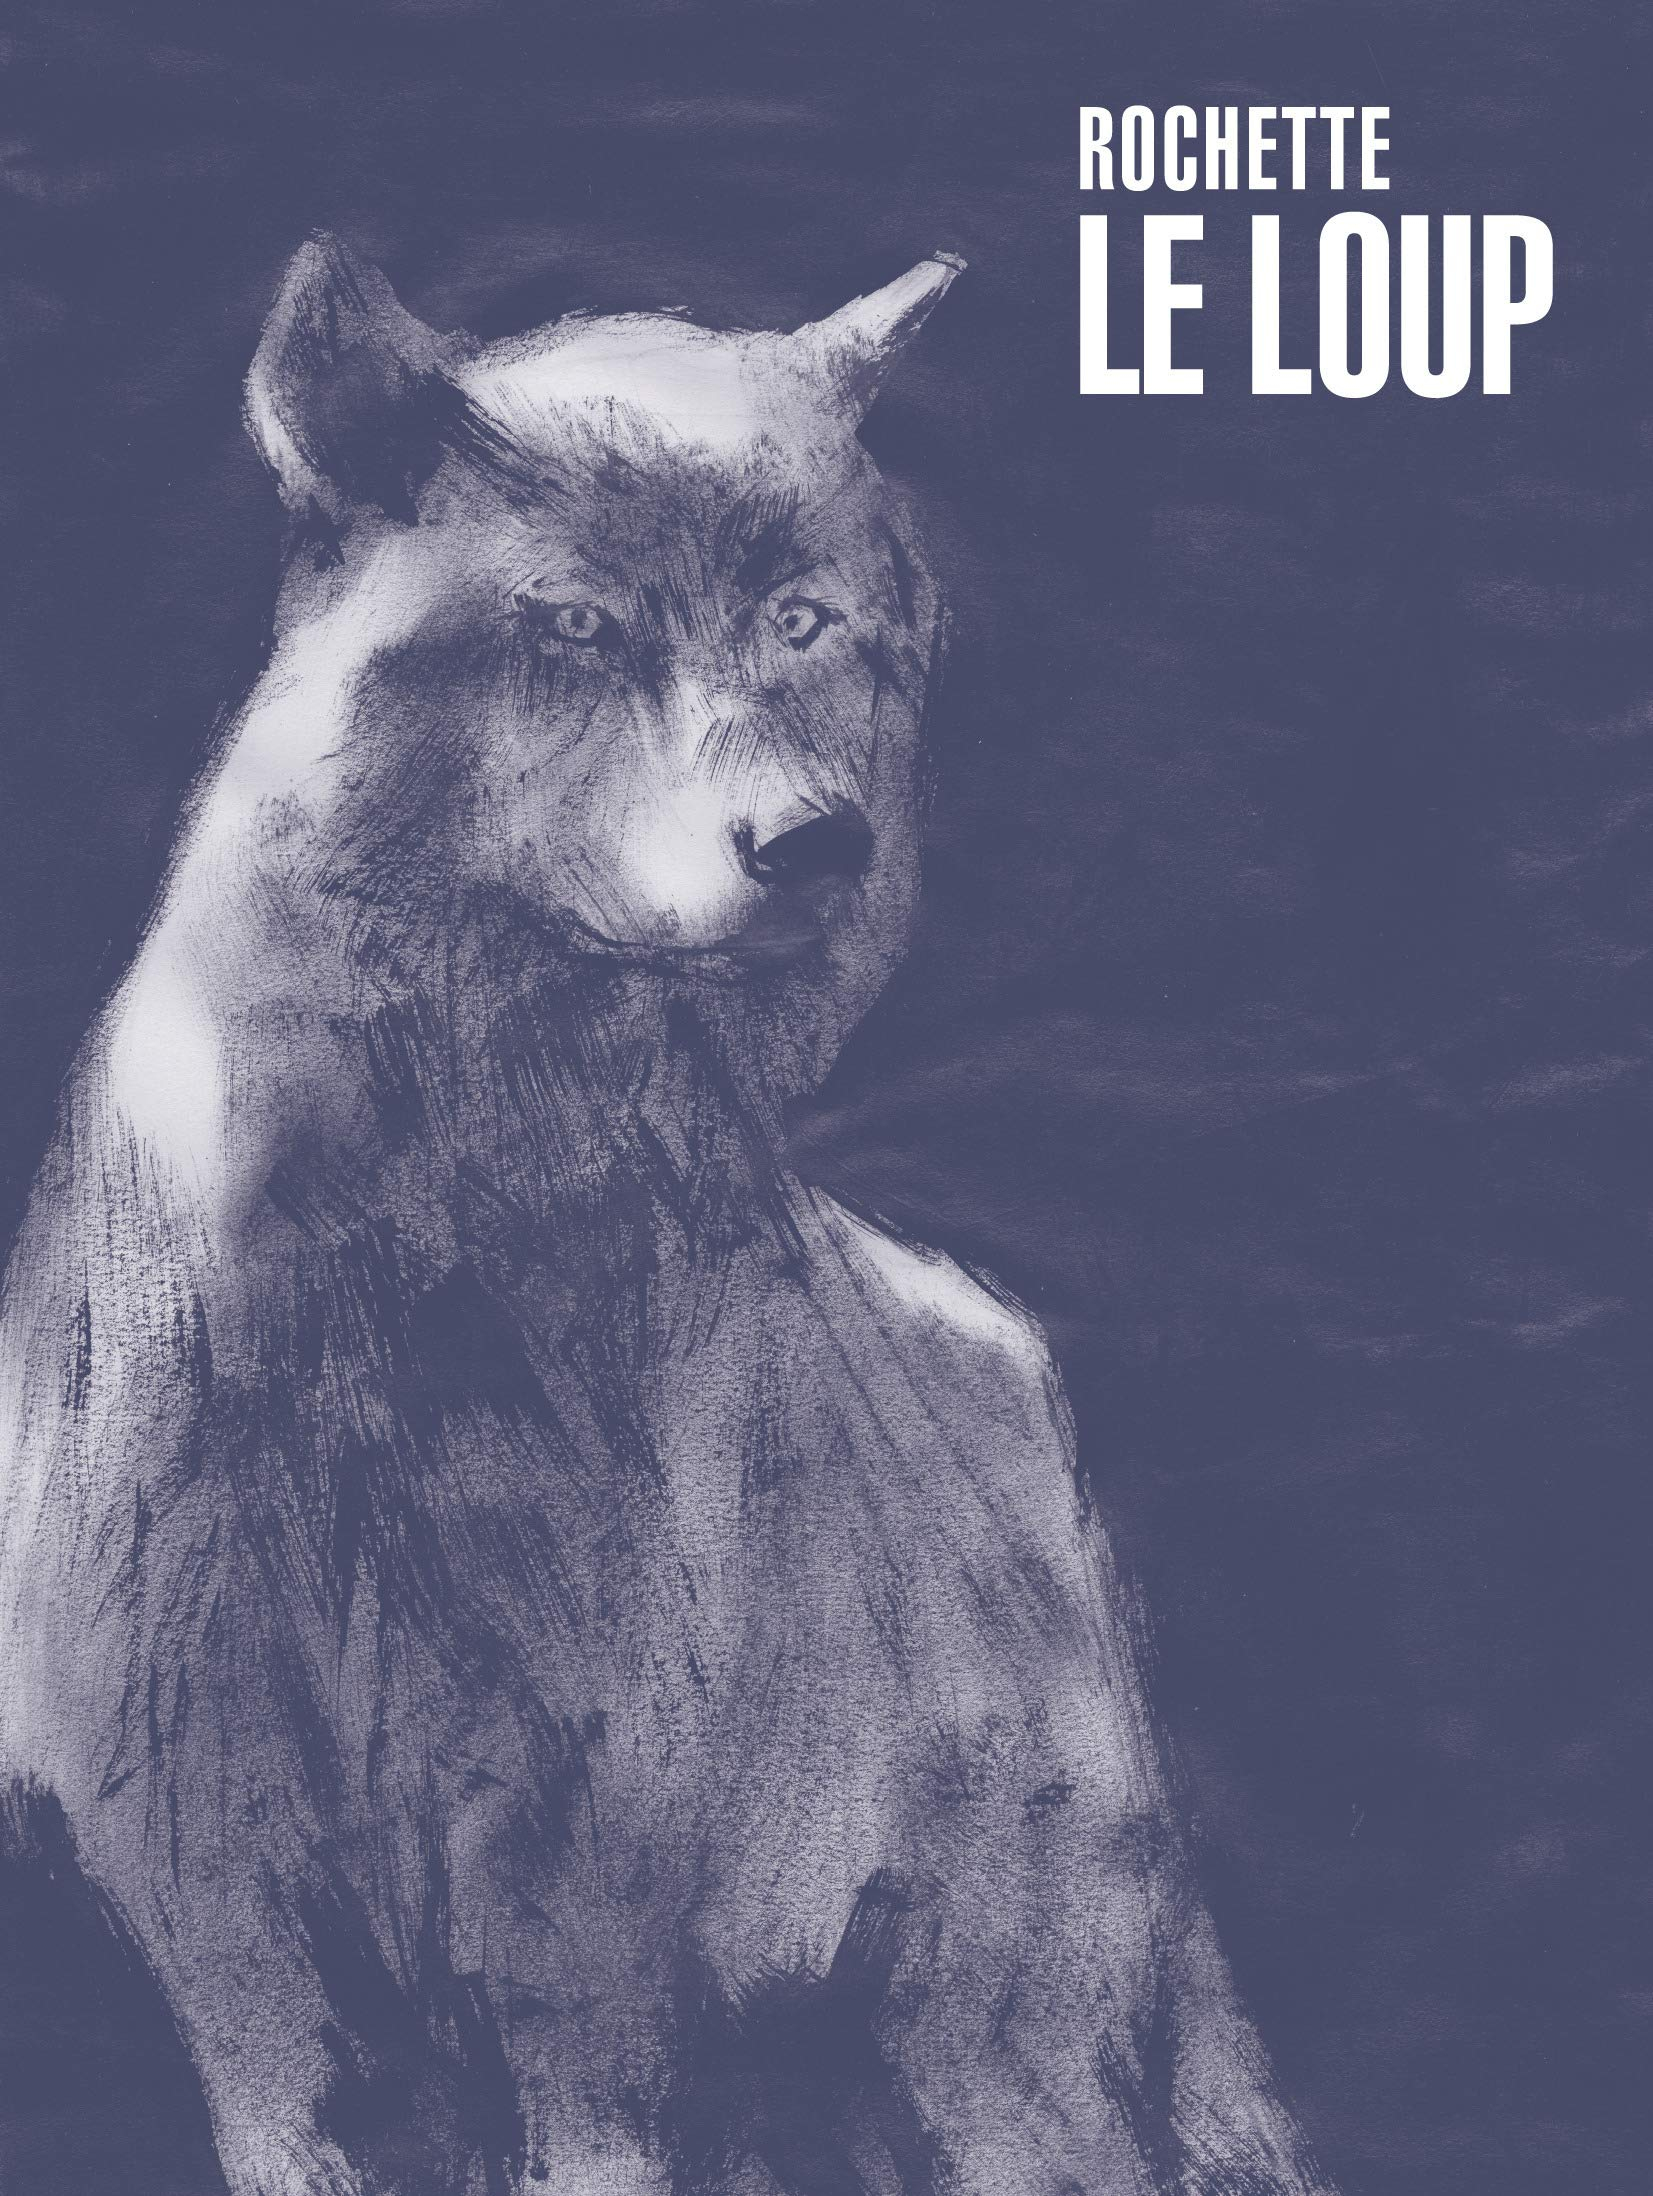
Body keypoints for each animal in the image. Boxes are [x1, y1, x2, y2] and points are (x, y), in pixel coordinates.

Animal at [0, 237, 1333, 2196]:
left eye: (801, 621)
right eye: (575, 626)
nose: (815, 844)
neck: (431, 1283)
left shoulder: (576, 1914)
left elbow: (592, 2138)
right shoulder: (218, 1898)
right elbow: (287, 2112)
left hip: (989, 2029)